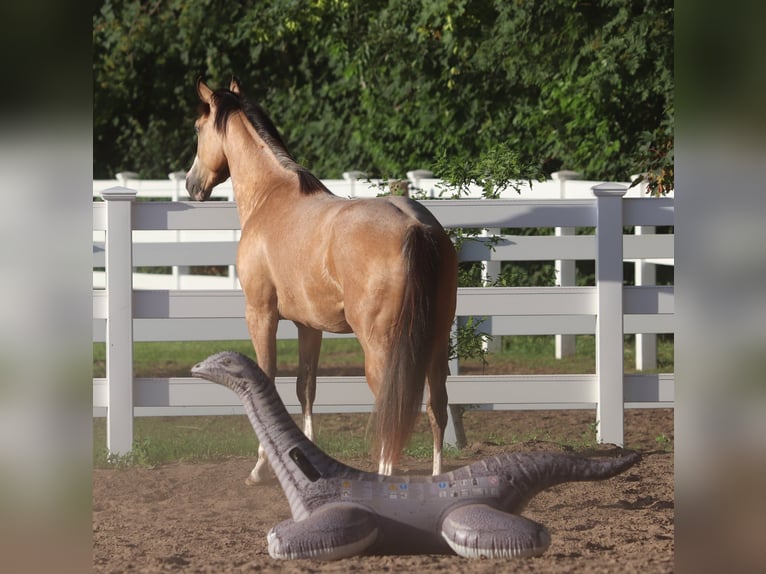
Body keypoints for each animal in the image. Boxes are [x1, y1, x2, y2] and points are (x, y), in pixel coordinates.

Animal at [186, 77, 458, 484]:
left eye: (198, 128)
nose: (192, 184)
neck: (271, 196)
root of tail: (417, 227)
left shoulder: (260, 314)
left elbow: (266, 381)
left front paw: (261, 467)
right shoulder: (308, 326)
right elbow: (306, 389)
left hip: (381, 346)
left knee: (390, 408)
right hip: (436, 340)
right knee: (436, 404)